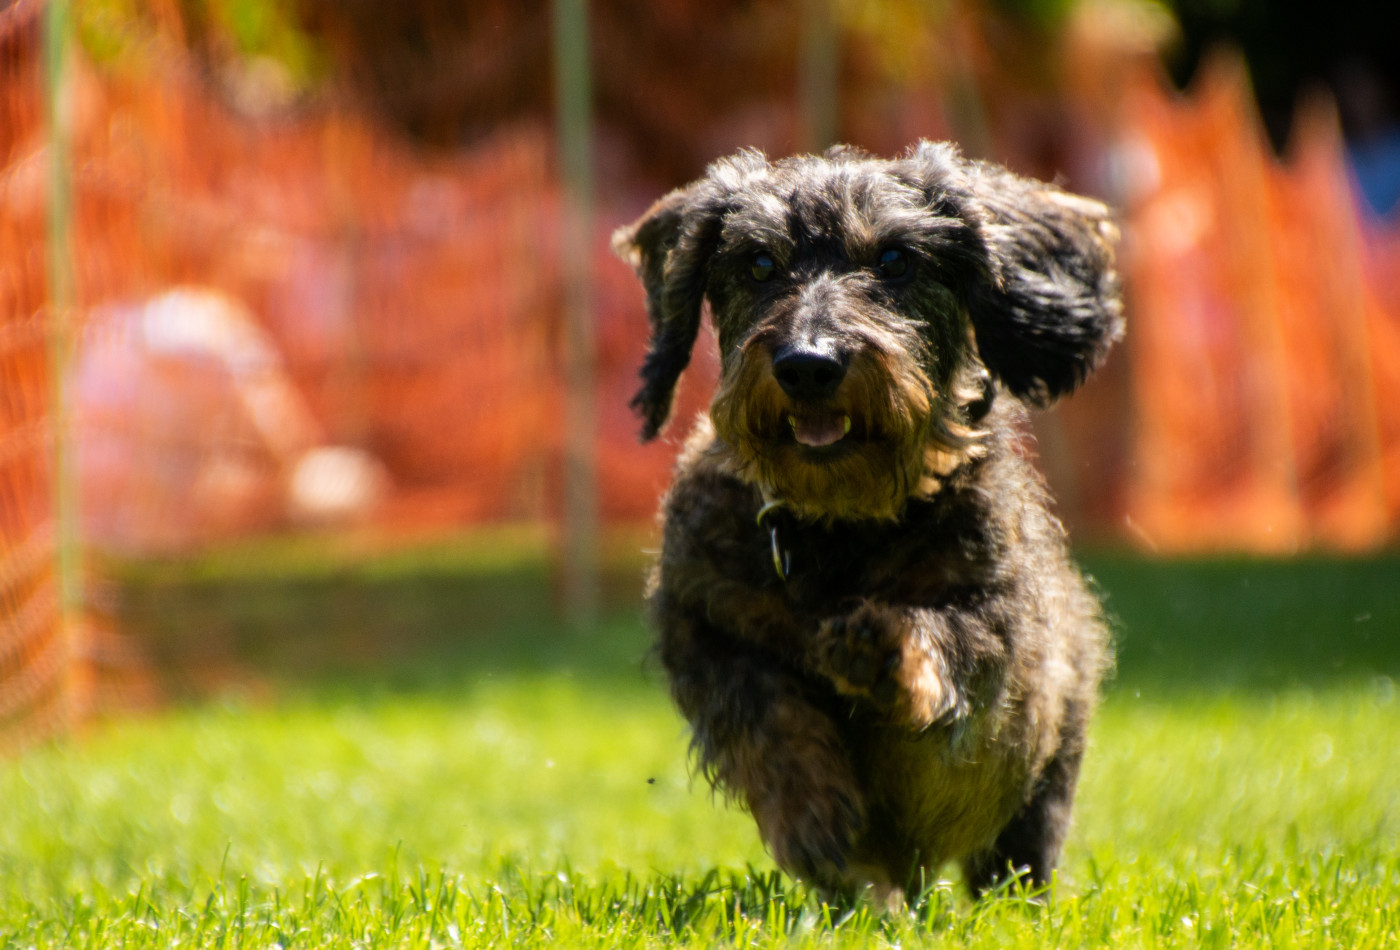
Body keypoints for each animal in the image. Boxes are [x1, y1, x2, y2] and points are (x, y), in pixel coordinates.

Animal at [618, 141, 1120, 906]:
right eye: (758, 264)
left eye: (895, 259)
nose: (808, 364)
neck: (841, 520)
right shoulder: (701, 621)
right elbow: (765, 711)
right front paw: (812, 810)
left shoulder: (1003, 627)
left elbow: (957, 639)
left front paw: (880, 648)